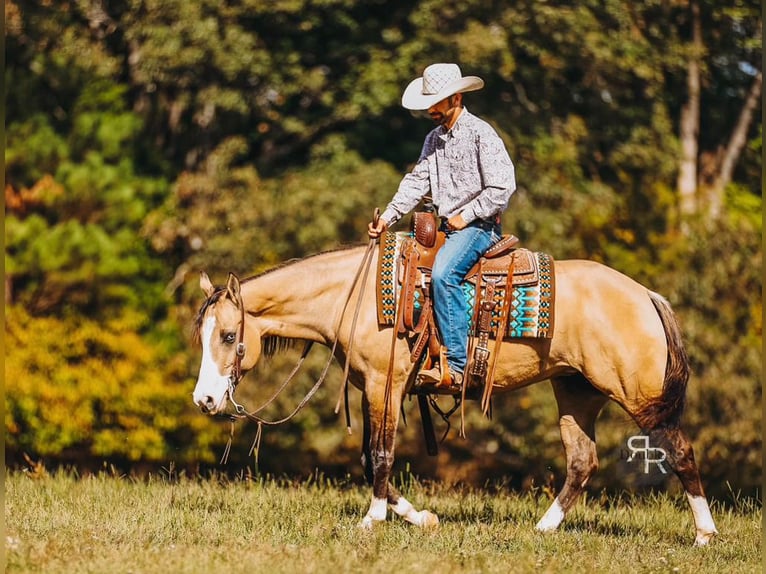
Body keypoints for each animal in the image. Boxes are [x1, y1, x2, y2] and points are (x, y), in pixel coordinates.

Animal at [190, 242, 718, 546]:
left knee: (680, 453)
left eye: (229, 336)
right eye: (203, 335)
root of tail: (646, 294)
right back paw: (543, 529)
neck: (352, 296)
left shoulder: (385, 385)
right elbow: (369, 459)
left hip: (640, 399)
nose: (205, 401)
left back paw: (704, 535)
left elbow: (380, 456)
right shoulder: (372, 390)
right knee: (582, 460)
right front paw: (419, 517)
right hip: (576, 392)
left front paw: (373, 520)